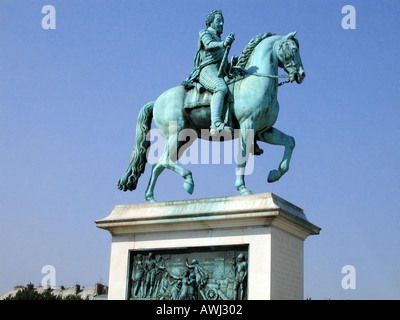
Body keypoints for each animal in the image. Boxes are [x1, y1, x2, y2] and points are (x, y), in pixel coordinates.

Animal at [117, 31, 304, 201]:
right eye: (294, 49)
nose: (301, 74)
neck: (254, 83)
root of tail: (156, 101)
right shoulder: (247, 125)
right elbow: (243, 157)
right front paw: (243, 189)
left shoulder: (264, 130)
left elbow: (291, 142)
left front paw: (274, 174)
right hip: (176, 134)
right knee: (165, 161)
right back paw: (188, 181)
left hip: (184, 138)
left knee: (159, 164)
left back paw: (151, 199)